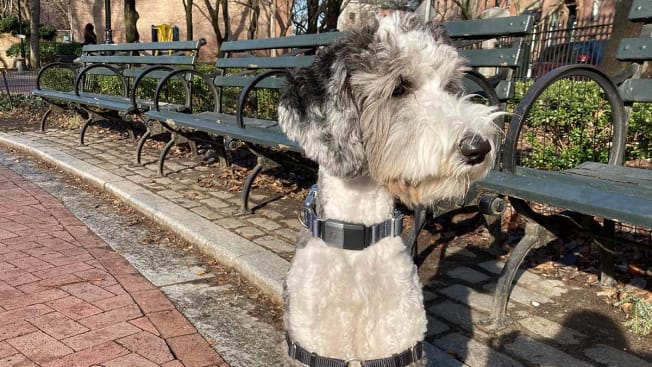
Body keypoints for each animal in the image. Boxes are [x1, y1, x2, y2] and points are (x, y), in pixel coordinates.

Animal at [276, 11, 500, 367]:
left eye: (450, 87)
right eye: (399, 88)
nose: (479, 147)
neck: (358, 241)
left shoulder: (399, 346)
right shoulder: (314, 347)